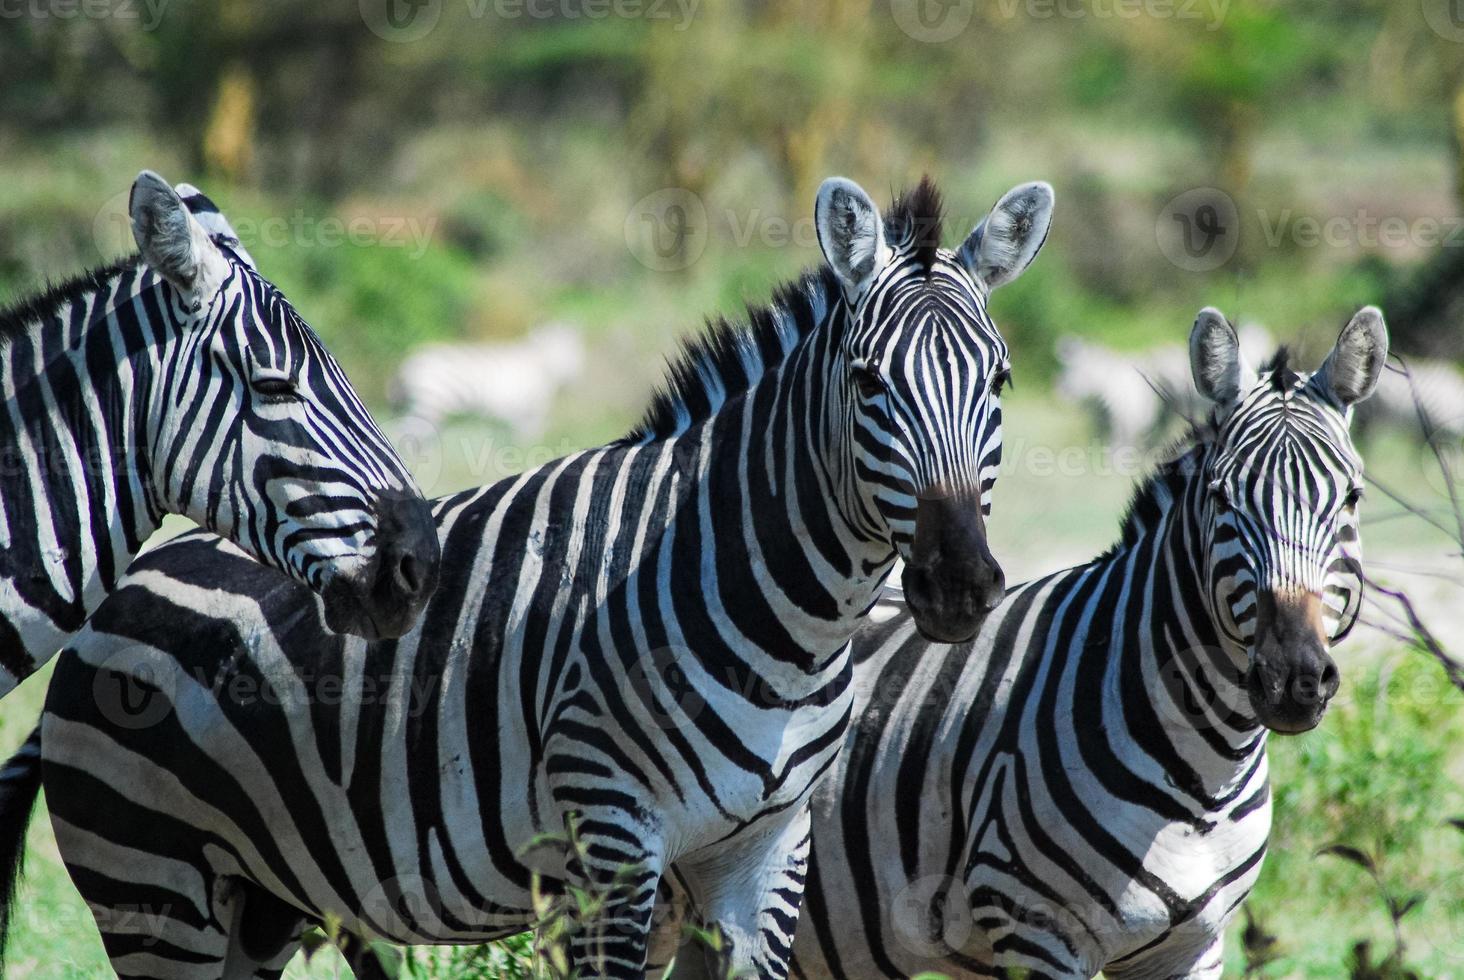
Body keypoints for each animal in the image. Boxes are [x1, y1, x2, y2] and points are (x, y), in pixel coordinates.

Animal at [767, 307, 1382, 978]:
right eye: (1222, 497)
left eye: (1352, 497)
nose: (1291, 679)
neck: (1208, 771)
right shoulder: (1038, 931)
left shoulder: (1196, 945)